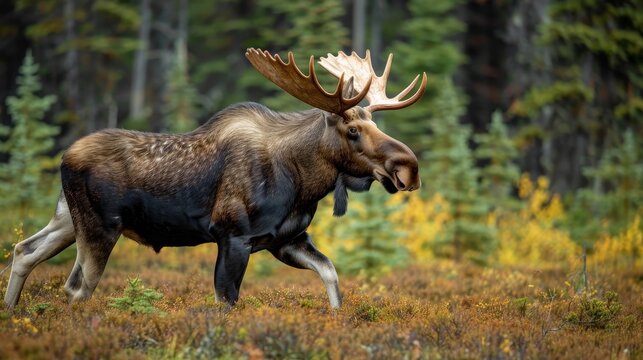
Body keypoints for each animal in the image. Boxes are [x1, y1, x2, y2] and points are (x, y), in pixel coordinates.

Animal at [6, 48, 428, 310]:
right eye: (353, 130)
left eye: (374, 123)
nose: (409, 167)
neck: (303, 182)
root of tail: (64, 157)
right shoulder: (232, 235)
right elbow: (226, 300)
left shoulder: (286, 239)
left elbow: (331, 274)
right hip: (100, 227)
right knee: (77, 287)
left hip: (67, 218)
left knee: (24, 250)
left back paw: (11, 311)